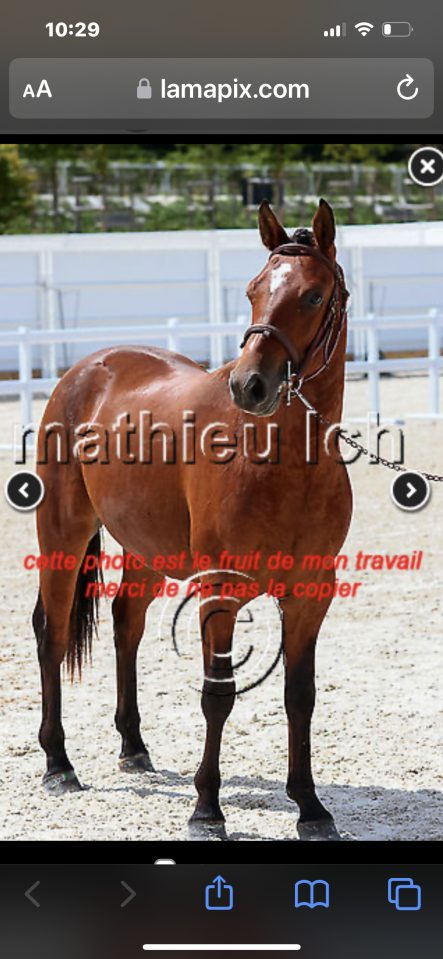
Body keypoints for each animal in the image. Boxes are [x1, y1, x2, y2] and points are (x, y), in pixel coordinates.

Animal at [33, 198, 352, 841]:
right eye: (253, 290)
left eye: (312, 296)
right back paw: (58, 763)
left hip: (145, 549)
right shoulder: (219, 592)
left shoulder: (310, 595)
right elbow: (217, 696)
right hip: (62, 536)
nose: (249, 384)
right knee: (51, 635)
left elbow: (300, 697)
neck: (285, 461)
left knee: (125, 624)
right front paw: (207, 808)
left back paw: (133, 747)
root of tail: (87, 369)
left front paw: (310, 807)